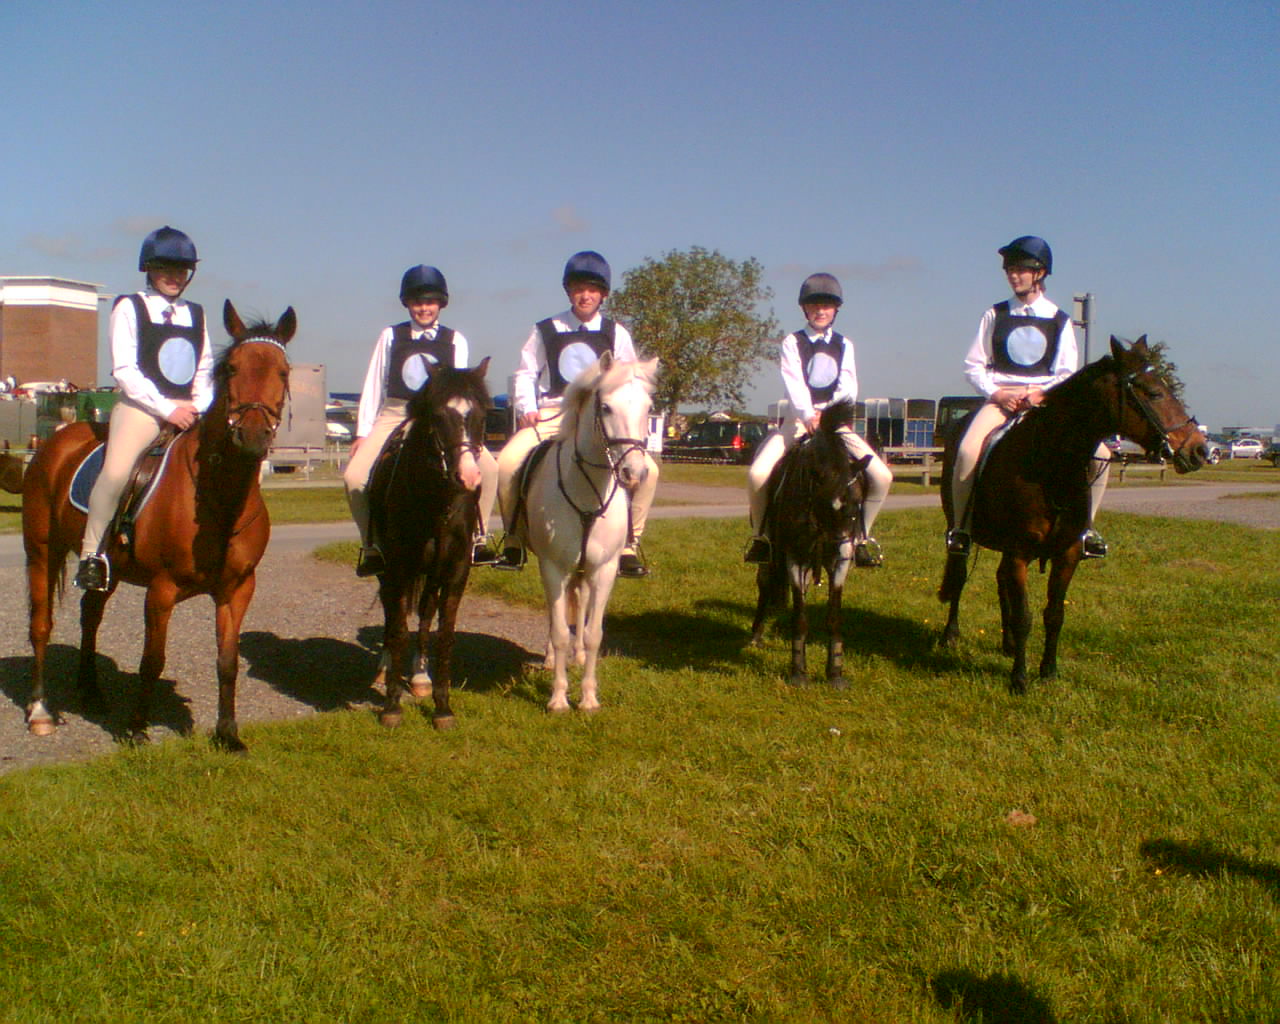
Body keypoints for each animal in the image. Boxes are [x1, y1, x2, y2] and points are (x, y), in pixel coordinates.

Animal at [22, 301, 295, 749]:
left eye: (284, 371)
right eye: (232, 368)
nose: (253, 435)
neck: (220, 500)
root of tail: (56, 440)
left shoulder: (237, 589)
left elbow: (227, 660)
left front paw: (228, 733)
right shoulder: (162, 590)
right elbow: (152, 660)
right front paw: (136, 728)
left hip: (106, 570)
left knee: (89, 616)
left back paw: (91, 692)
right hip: (42, 551)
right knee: (41, 625)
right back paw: (40, 711)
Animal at [367, 359, 491, 730]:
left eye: (482, 415)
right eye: (438, 415)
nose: (468, 477)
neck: (436, 502)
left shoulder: (455, 571)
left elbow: (444, 633)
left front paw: (442, 707)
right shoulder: (397, 568)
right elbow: (397, 629)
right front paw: (392, 706)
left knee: (424, 613)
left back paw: (421, 678)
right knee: (392, 614)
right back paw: (385, 670)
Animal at [517, 351, 657, 713]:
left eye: (649, 408)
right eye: (605, 407)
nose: (634, 473)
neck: (587, 494)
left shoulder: (603, 570)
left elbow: (594, 633)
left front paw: (589, 698)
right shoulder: (553, 567)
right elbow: (558, 632)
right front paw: (558, 698)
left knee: (578, 605)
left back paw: (578, 655)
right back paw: (553, 660)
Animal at [747, 399, 872, 688]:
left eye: (857, 505)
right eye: (826, 505)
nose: (837, 546)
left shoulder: (840, 563)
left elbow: (834, 616)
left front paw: (835, 673)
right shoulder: (794, 556)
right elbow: (800, 616)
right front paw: (798, 673)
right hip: (771, 554)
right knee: (765, 584)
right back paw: (756, 634)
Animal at [937, 336, 1208, 693]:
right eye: (1153, 393)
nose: (1200, 450)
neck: (1050, 466)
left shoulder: (1065, 554)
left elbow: (1054, 614)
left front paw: (1048, 670)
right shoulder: (1019, 553)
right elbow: (1025, 616)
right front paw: (1019, 680)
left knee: (1000, 581)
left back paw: (1007, 643)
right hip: (961, 531)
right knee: (959, 575)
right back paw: (951, 635)